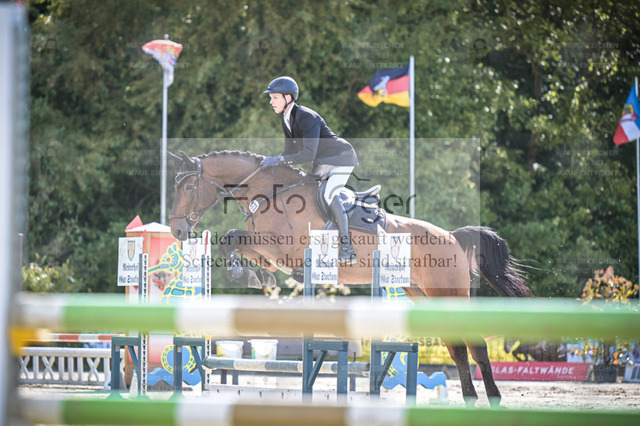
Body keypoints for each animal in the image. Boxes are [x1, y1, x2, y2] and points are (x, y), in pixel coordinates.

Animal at [168, 150, 533, 407]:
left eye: (188, 186)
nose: (177, 231)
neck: (269, 192)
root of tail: (453, 237)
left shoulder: (282, 248)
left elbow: (233, 237)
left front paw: (240, 271)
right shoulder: (269, 252)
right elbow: (235, 242)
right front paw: (252, 275)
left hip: (448, 293)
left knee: (475, 345)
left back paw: (493, 399)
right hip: (423, 294)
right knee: (456, 347)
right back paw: (471, 399)